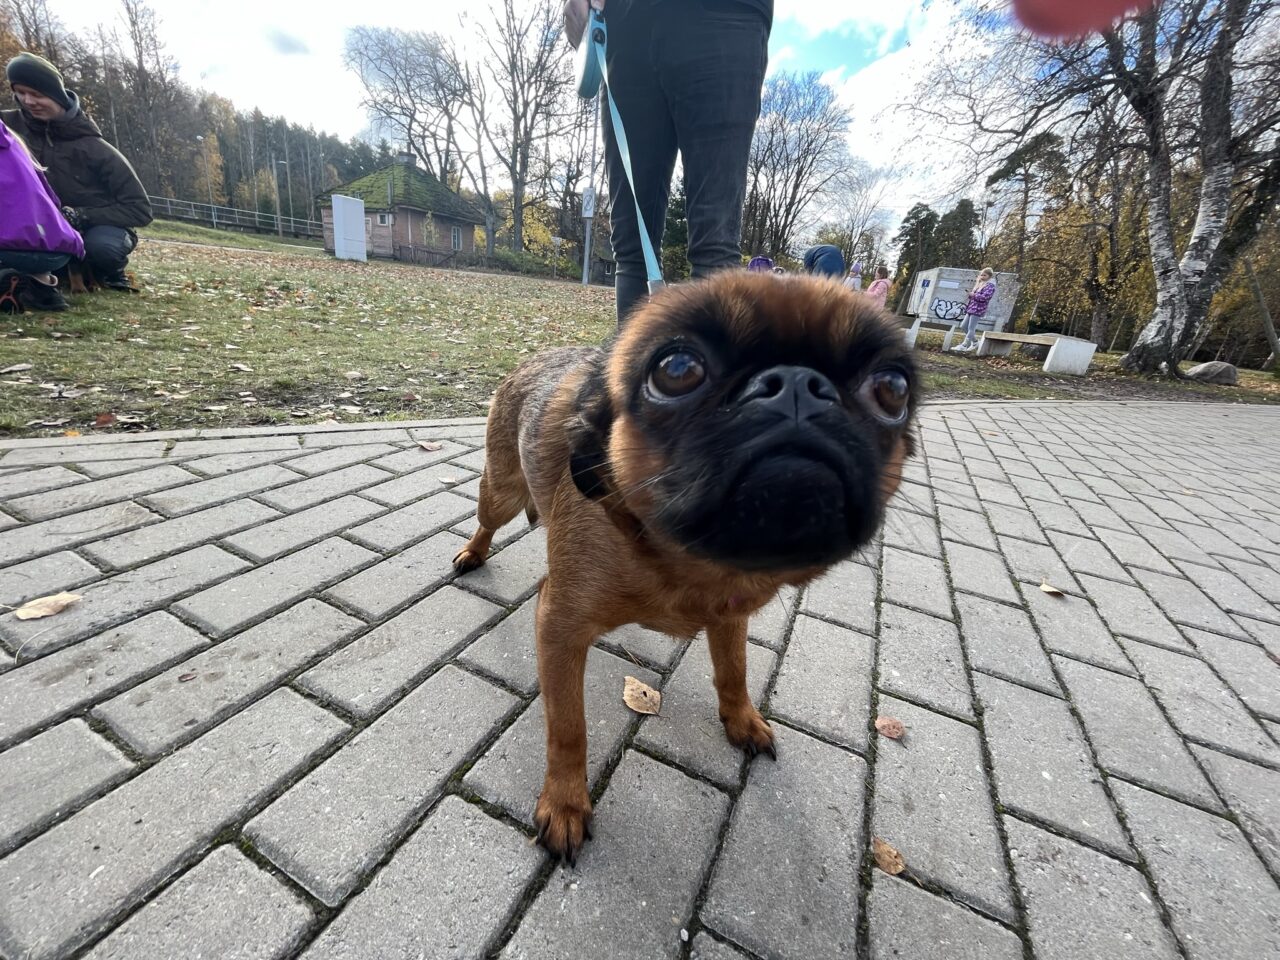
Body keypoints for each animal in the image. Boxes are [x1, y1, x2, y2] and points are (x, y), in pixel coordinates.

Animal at [453, 271, 919, 862]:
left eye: (893, 388)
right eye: (676, 371)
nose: (797, 384)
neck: (695, 565)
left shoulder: (730, 618)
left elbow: (734, 672)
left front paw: (742, 720)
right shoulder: (560, 628)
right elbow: (567, 727)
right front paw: (564, 802)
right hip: (504, 492)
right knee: (488, 518)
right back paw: (472, 553)